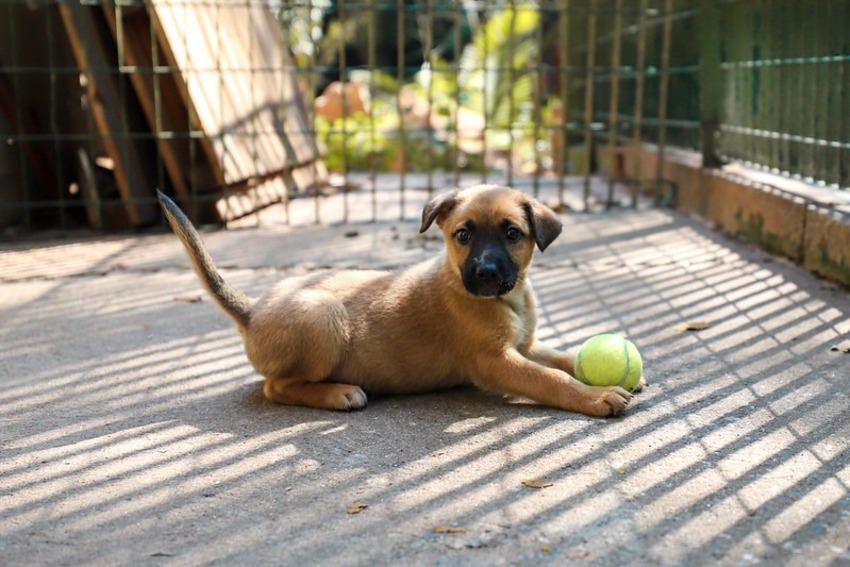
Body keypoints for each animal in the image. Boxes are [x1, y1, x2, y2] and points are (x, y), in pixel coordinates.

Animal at [159, 186, 632, 418]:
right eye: (463, 234)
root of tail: (252, 310)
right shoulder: (495, 361)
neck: (508, 298)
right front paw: (597, 396)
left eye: (513, 233)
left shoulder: (524, 347)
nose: (485, 273)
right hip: (323, 314)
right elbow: (551, 379)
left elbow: (564, 358)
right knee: (275, 387)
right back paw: (339, 394)